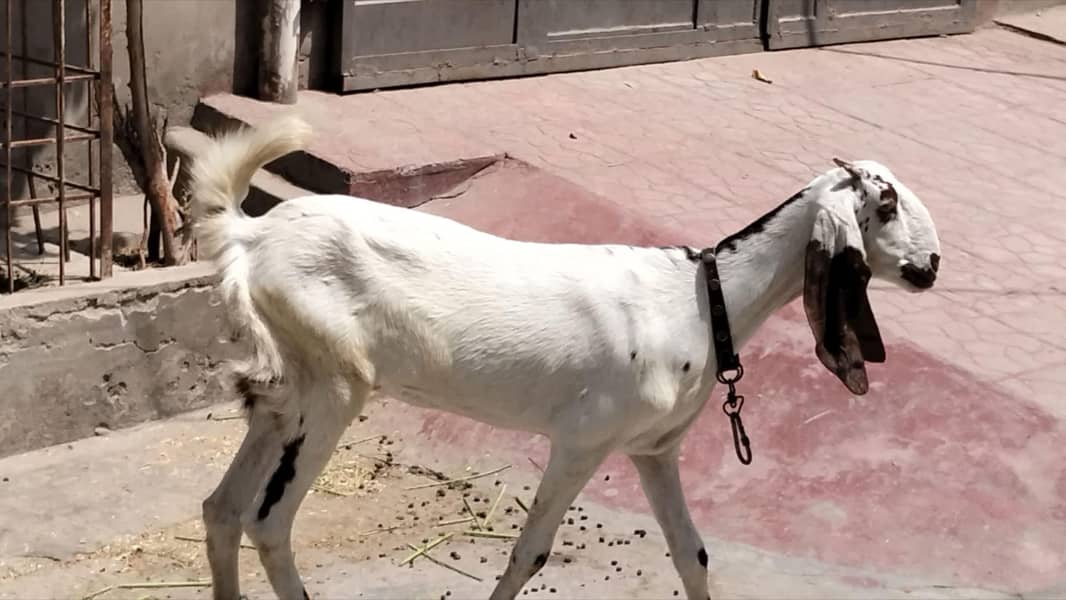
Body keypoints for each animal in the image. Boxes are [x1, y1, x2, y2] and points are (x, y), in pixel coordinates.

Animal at [190, 115, 941, 600]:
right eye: (885, 204)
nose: (931, 267)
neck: (702, 299)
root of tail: (249, 237)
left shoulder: (653, 450)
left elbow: (692, 553)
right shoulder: (582, 440)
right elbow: (531, 551)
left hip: (285, 393)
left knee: (222, 509)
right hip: (335, 388)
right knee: (268, 522)